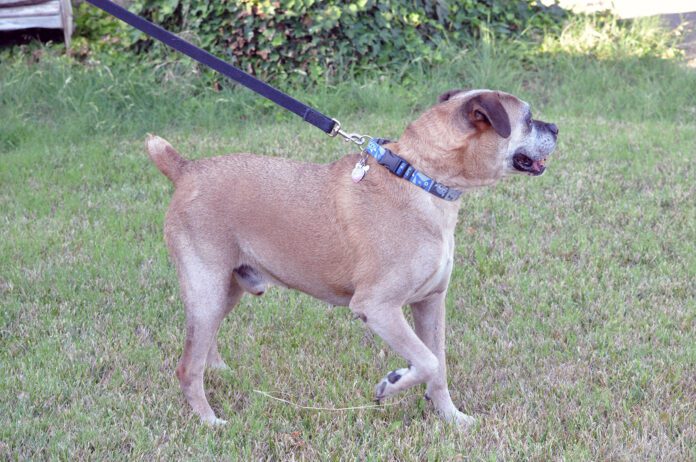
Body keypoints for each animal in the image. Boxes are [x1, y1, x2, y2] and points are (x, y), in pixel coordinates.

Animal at [147, 89, 560, 426]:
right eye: (527, 119)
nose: (555, 127)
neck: (420, 178)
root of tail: (186, 170)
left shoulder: (430, 302)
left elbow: (438, 366)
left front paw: (451, 417)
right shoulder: (377, 307)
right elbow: (426, 360)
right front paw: (392, 383)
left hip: (226, 289)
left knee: (206, 347)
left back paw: (222, 374)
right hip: (207, 290)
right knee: (187, 367)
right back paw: (209, 421)